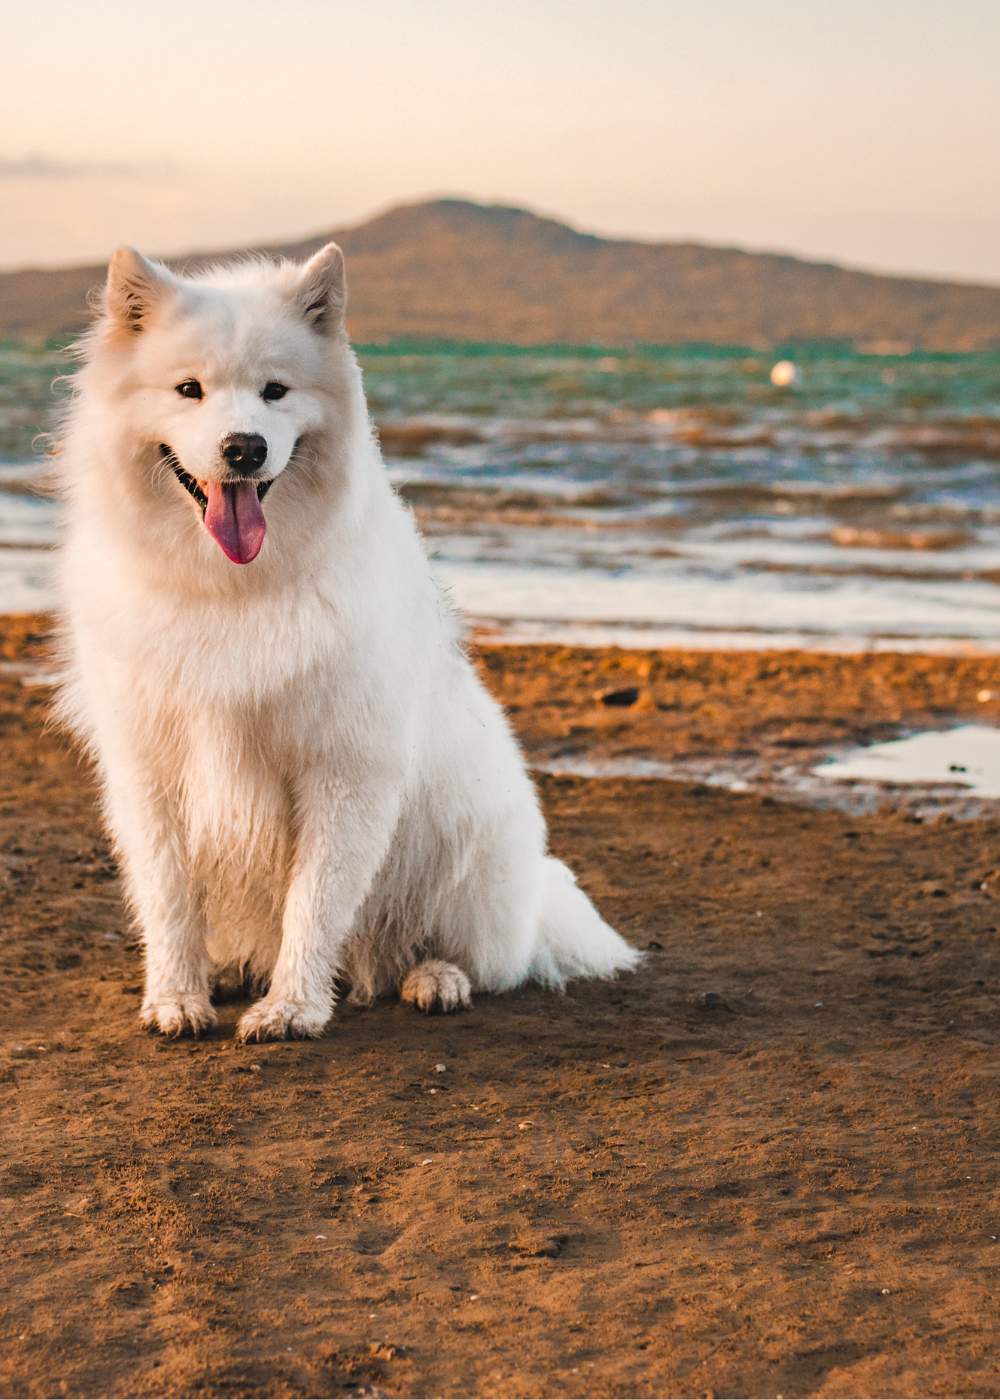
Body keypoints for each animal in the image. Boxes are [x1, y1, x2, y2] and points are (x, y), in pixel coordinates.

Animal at [50, 246, 638, 1041]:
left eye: (275, 391)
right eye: (188, 390)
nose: (245, 448)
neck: (234, 591)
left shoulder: (345, 767)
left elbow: (316, 899)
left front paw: (294, 1007)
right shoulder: (151, 766)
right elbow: (169, 899)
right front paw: (176, 999)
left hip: (465, 851)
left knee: (476, 961)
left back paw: (435, 978)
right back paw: (232, 970)